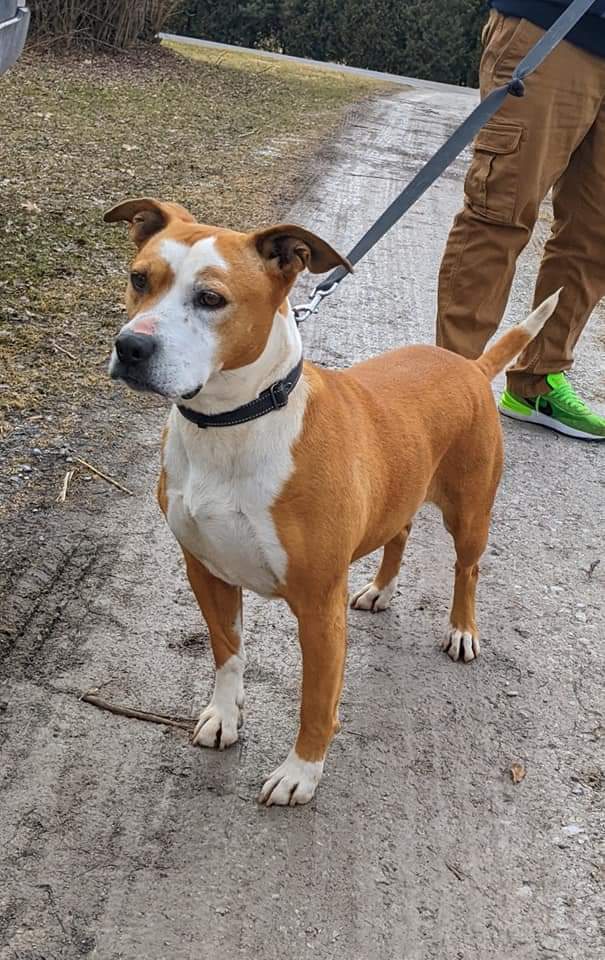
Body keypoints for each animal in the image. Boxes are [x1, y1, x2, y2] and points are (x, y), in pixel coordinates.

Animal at [106, 199, 560, 808]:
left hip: (469, 513)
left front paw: (301, 771)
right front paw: (225, 716)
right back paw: (382, 590)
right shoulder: (206, 571)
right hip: (400, 490)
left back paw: (462, 630)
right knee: (399, 534)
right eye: (139, 279)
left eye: (211, 299)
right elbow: (227, 652)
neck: (233, 423)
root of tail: (468, 365)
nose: (131, 347)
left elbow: (316, 703)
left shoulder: (319, 606)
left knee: (467, 569)